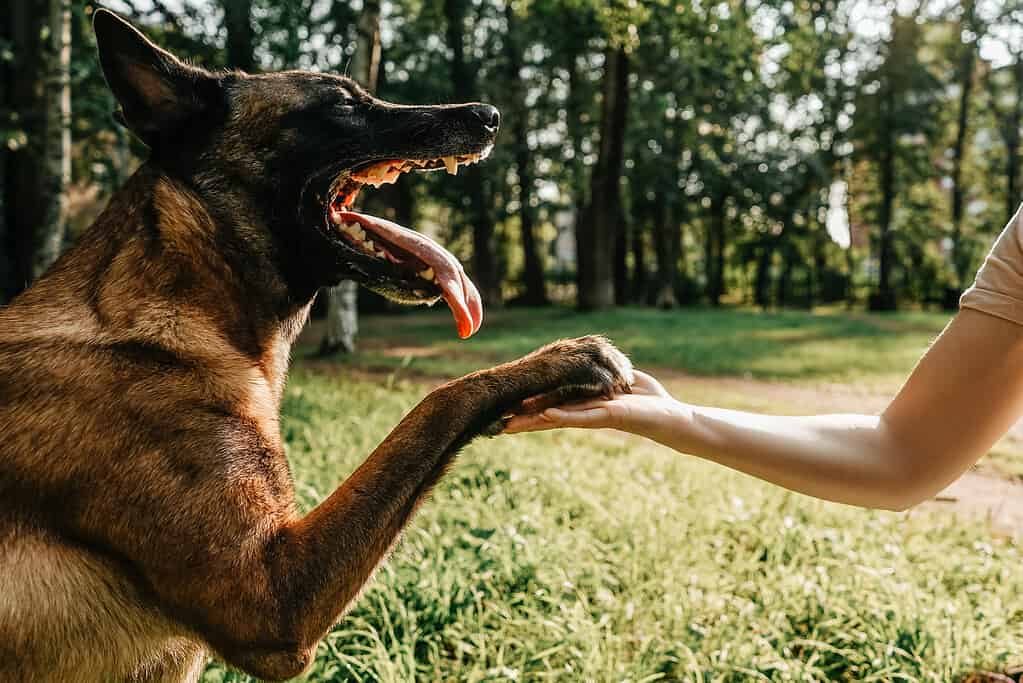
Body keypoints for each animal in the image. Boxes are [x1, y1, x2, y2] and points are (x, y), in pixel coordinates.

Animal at [0, 10, 630, 683]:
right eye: (341, 105)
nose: (488, 114)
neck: (170, 313)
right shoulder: (273, 599)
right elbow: (438, 403)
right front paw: (562, 361)